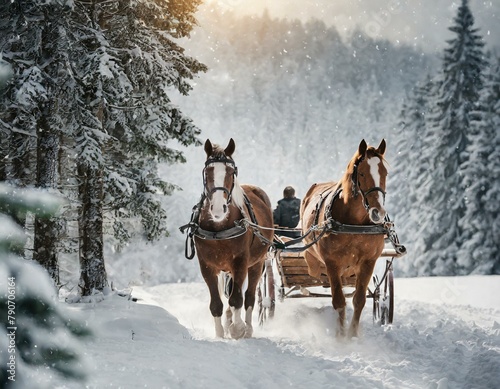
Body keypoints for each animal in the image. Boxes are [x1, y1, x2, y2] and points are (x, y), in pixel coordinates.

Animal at [191, 138, 274, 338]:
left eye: (231, 172)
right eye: (207, 172)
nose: (218, 209)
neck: (219, 228)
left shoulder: (240, 262)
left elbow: (237, 298)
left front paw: (238, 328)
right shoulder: (206, 265)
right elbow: (216, 303)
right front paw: (221, 332)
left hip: (257, 263)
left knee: (249, 296)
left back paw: (248, 327)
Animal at [298, 139, 388, 336]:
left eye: (385, 173)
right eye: (361, 173)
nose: (378, 212)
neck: (355, 223)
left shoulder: (369, 261)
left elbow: (359, 300)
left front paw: (352, 335)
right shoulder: (332, 262)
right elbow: (339, 301)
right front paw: (340, 336)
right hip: (312, 255)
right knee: (313, 269)